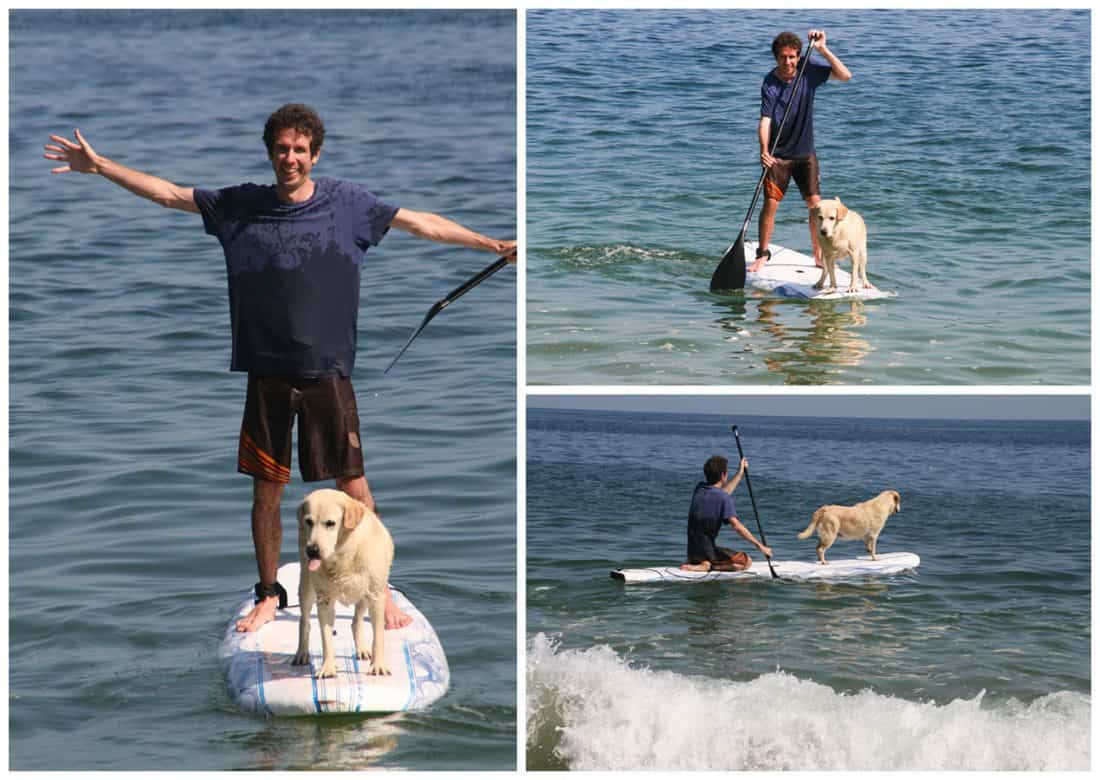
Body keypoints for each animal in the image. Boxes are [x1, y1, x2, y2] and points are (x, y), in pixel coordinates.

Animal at [292, 486, 396, 673]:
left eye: (330, 523)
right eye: (309, 521)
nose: (312, 550)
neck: (343, 555)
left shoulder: (376, 596)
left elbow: (378, 637)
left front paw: (378, 666)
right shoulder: (324, 599)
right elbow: (326, 637)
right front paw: (328, 667)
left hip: (363, 595)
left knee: (356, 622)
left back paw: (362, 650)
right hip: (306, 585)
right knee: (304, 621)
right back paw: (301, 653)